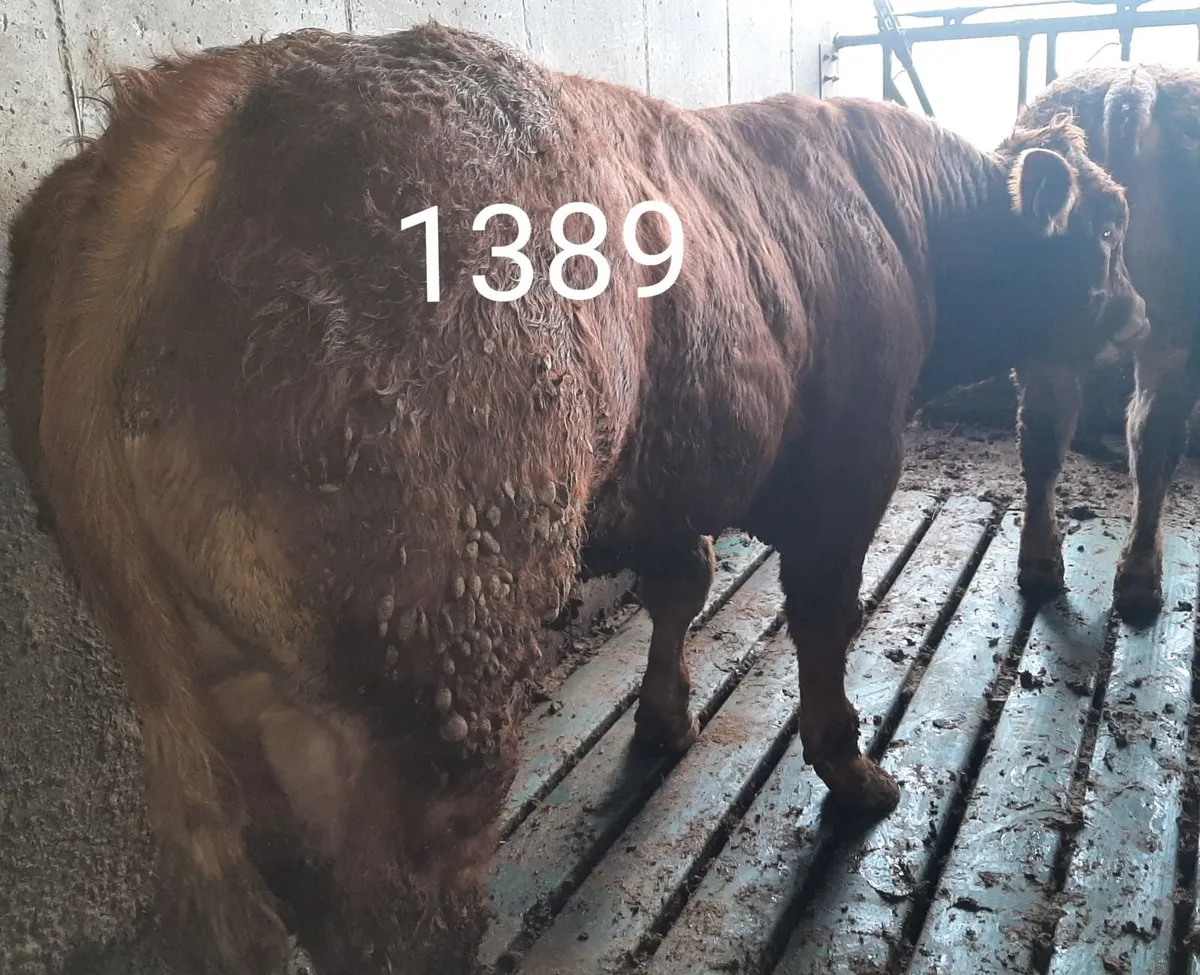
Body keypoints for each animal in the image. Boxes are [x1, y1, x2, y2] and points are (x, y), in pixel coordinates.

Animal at [0, 23, 1146, 975]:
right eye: (1105, 231)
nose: (1137, 312)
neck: (897, 220)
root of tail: (200, 100)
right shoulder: (847, 475)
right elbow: (823, 628)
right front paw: (856, 779)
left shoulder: (665, 479)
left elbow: (682, 581)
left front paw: (665, 720)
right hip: (435, 673)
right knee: (407, 907)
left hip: (212, 694)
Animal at [1017, 63, 1200, 622]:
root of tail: (1134, 81)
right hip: (1174, 339)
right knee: (1154, 439)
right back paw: (1141, 578)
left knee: (1044, 432)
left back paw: (1041, 567)